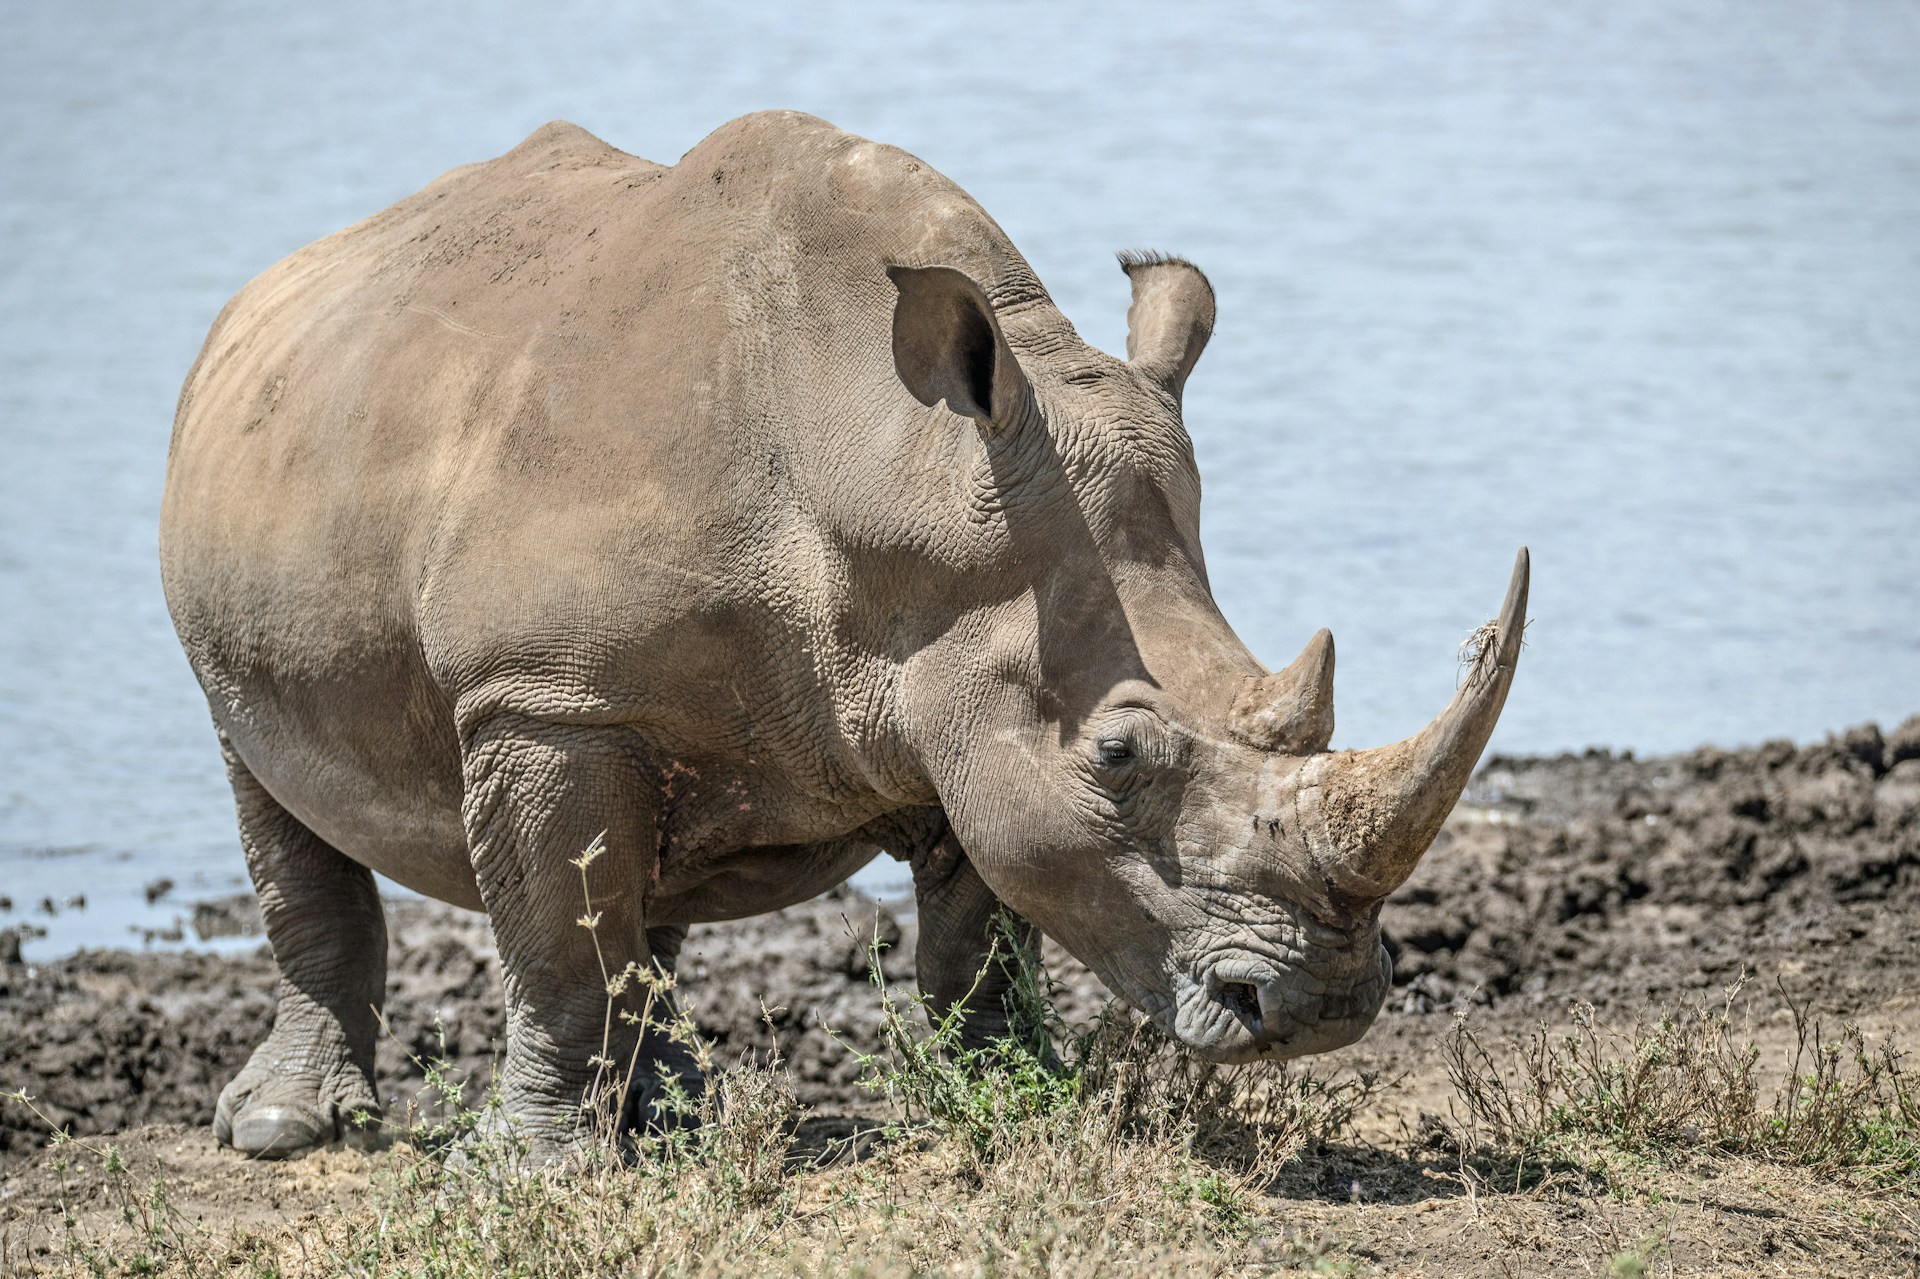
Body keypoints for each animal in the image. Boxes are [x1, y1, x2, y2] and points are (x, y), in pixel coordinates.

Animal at [157, 114, 1520, 1159]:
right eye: (1121, 756)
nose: (1323, 1005)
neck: (886, 463)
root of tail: (264, 289)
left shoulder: (963, 674)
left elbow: (982, 927)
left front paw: (1018, 1095)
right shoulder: (541, 694)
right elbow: (554, 939)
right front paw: (529, 1168)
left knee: (650, 867)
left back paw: (677, 1116)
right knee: (267, 782)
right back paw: (286, 1132)